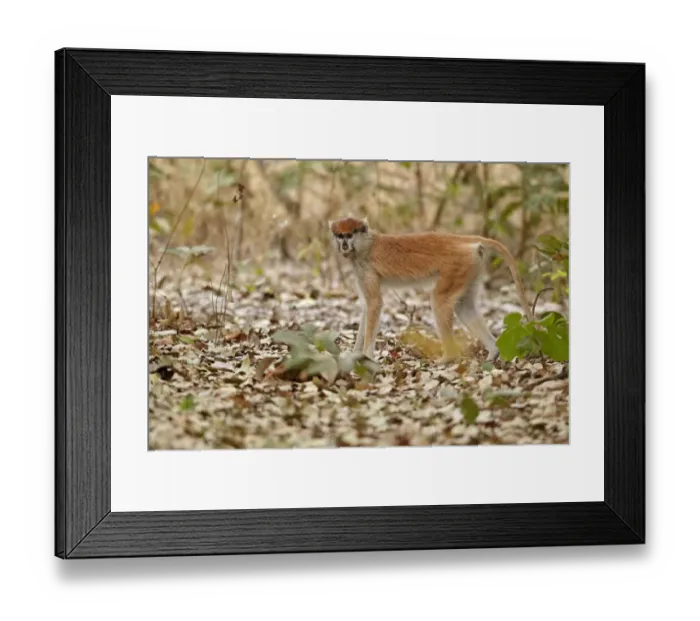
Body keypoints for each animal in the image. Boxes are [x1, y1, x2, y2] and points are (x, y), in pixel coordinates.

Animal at [328, 216, 534, 364]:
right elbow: (367, 306)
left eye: (350, 235)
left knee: (440, 301)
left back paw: (449, 357)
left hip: (457, 266)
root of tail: (460, 240)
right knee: (464, 307)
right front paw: (355, 354)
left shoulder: (366, 268)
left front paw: (367, 356)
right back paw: (493, 352)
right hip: (471, 267)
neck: (366, 244)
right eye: (340, 236)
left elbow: (374, 304)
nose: (344, 245)